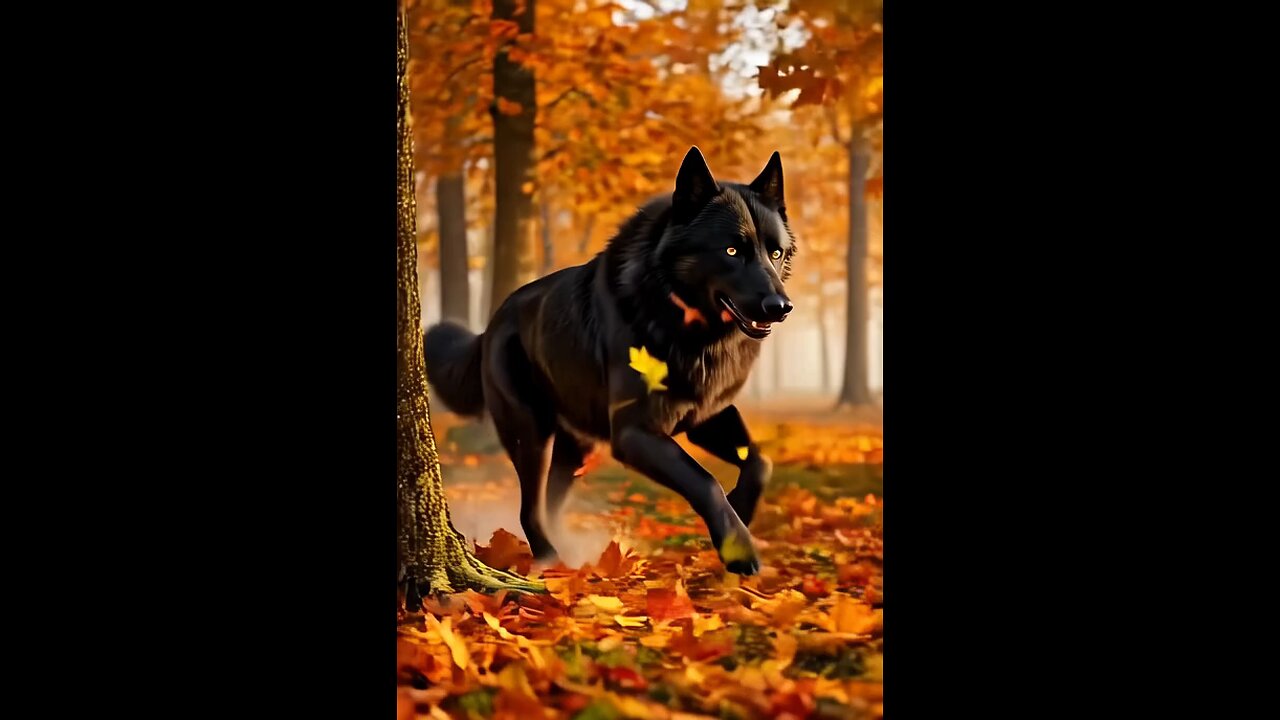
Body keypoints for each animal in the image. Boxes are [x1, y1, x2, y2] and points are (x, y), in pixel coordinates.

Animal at [424, 146, 795, 575]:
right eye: (731, 250)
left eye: (775, 252)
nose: (781, 307)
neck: (683, 321)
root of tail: (489, 327)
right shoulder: (635, 432)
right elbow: (704, 481)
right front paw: (739, 550)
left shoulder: (707, 415)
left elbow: (760, 462)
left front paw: (741, 512)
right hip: (530, 435)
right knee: (529, 510)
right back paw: (551, 563)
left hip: (574, 452)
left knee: (550, 506)